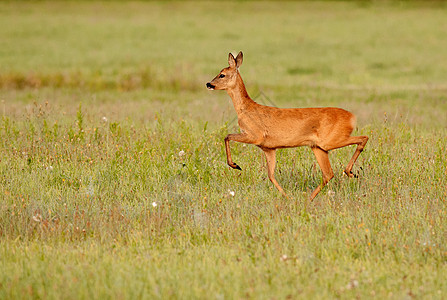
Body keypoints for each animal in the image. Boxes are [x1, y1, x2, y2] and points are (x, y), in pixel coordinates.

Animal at [206, 51, 368, 202]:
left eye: (222, 74)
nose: (209, 84)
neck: (245, 110)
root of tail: (352, 117)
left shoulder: (256, 136)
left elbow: (227, 136)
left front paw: (235, 165)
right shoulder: (269, 148)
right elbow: (271, 175)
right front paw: (286, 196)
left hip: (329, 141)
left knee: (363, 138)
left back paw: (350, 172)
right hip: (318, 147)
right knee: (328, 173)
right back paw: (310, 198)